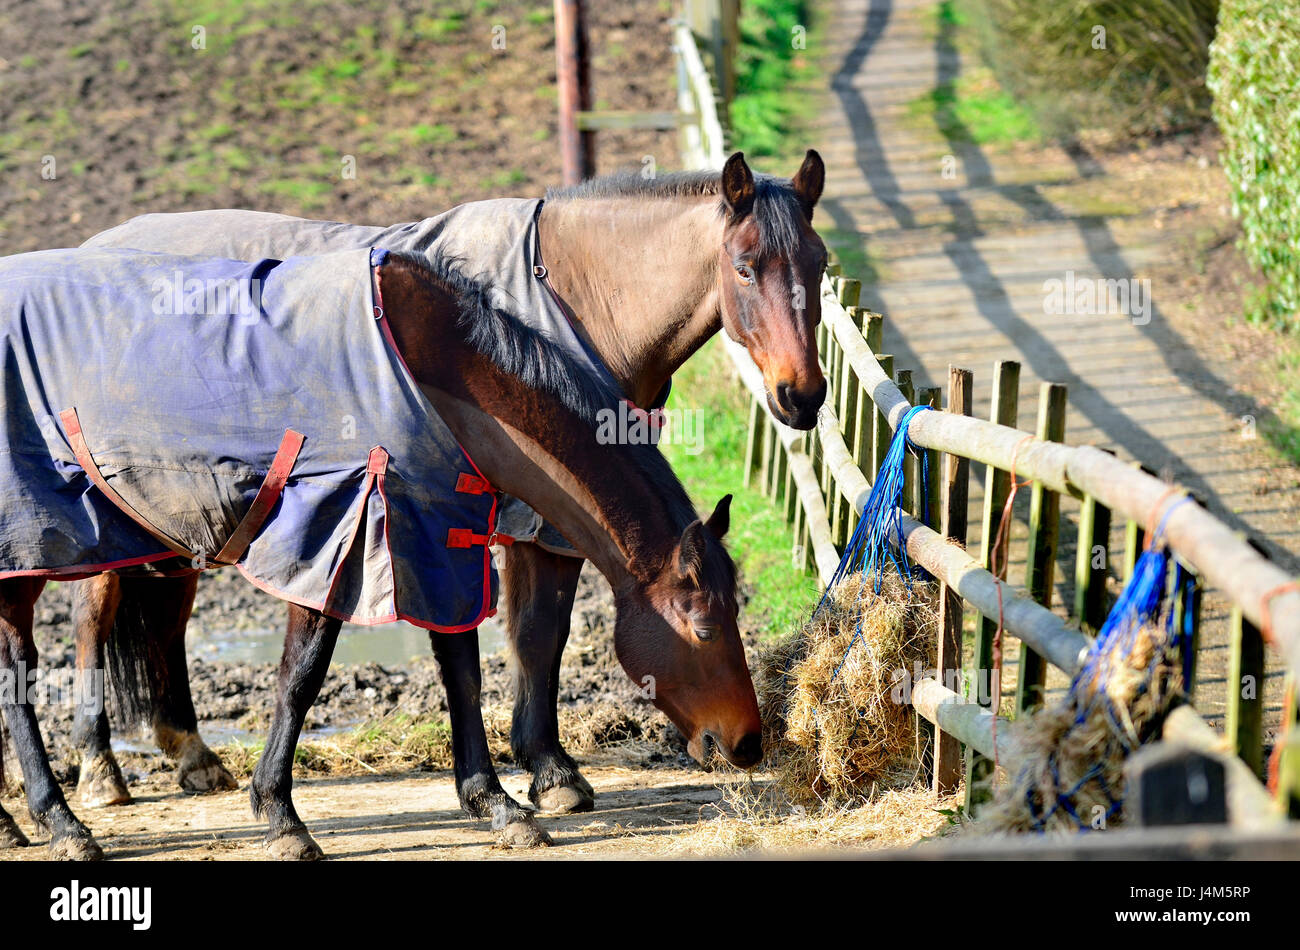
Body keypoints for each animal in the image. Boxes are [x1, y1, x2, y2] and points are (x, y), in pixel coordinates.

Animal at [0, 241, 759, 857]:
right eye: (705, 627)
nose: (749, 743)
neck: (429, 372)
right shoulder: (335, 535)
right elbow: (301, 678)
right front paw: (280, 816)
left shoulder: (439, 537)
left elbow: (462, 674)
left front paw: (496, 805)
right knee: (19, 673)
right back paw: (62, 822)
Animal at [68, 148, 821, 816]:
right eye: (745, 268)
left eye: (819, 265)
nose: (803, 395)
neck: (570, 300)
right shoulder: (523, 520)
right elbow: (532, 636)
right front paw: (548, 774)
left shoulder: (548, 525)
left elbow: (538, 636)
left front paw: (542, 770)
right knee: (91, 615)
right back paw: (100, 769)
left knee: (166, 617)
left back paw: (191, 753)